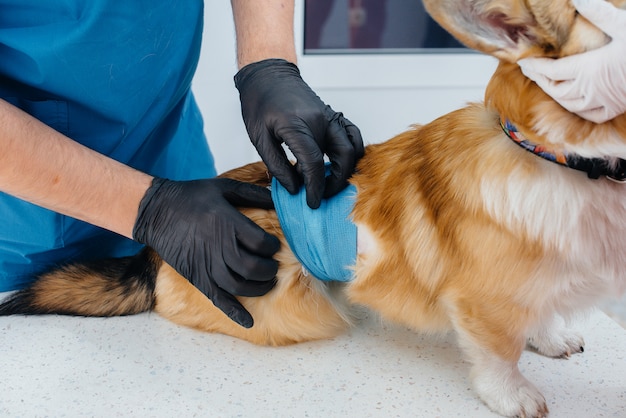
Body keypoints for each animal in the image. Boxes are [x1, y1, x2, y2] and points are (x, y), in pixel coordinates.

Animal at [1, 0, 624, 418]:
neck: (563, 162)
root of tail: (153, 255)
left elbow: (537, 312)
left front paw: (549, 336)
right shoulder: (478, 304)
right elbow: (498, 353)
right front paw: (515, 394)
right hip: (287, 295)